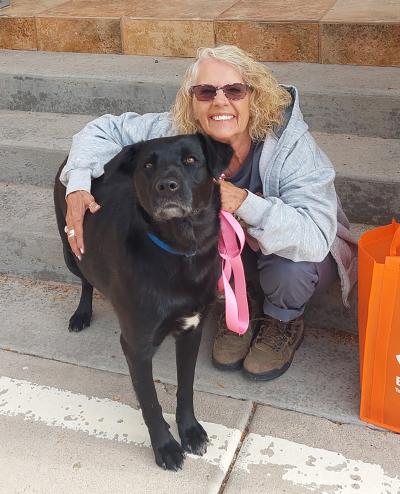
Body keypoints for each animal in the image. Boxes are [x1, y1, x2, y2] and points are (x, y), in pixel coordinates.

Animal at [54, 134, 233, 470]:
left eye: (191, 160)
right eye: (148, 166)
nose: (167, 186)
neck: (180, 249)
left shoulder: (191, 330)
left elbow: (186, 387)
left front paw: (190, 431)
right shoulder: (136, 346)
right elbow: (150, 402)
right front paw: (165, 447)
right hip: (72, 251)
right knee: (86, 280)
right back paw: (82, 314)